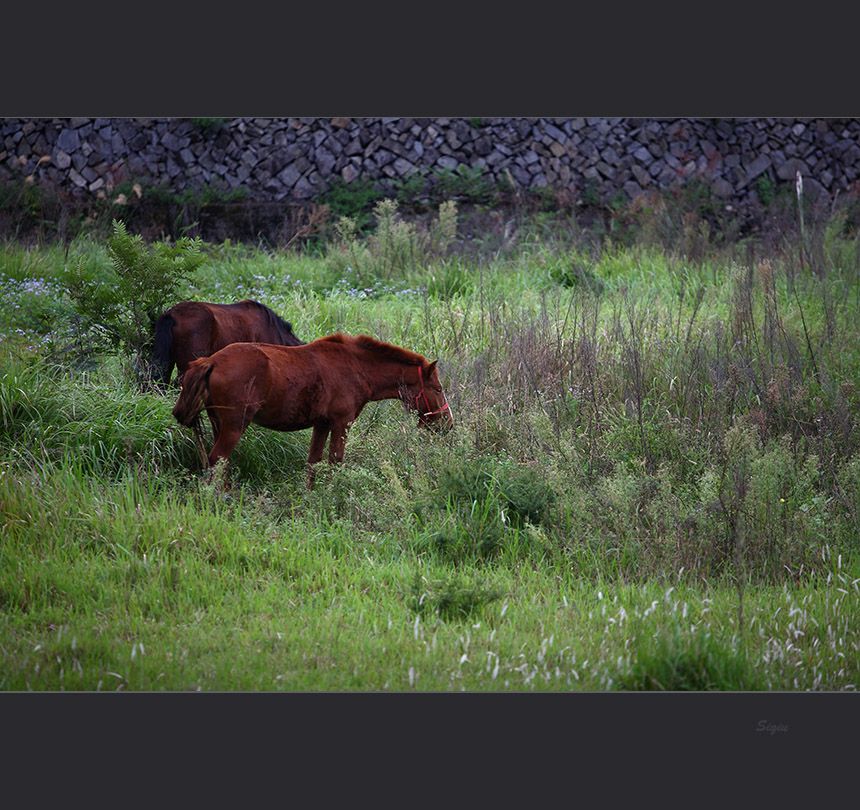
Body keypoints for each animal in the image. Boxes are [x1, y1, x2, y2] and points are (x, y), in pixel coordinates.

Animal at [171, 334, 454, 486]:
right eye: (438, 389)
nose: (448, 424)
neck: (356, 366)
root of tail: (211, 361)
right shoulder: (341, 423)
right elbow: (335, 461)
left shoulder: (322, 424)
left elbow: (313, 463)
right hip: (234, 426)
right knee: (217, 458)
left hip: (219, 424)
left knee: (220, 462)